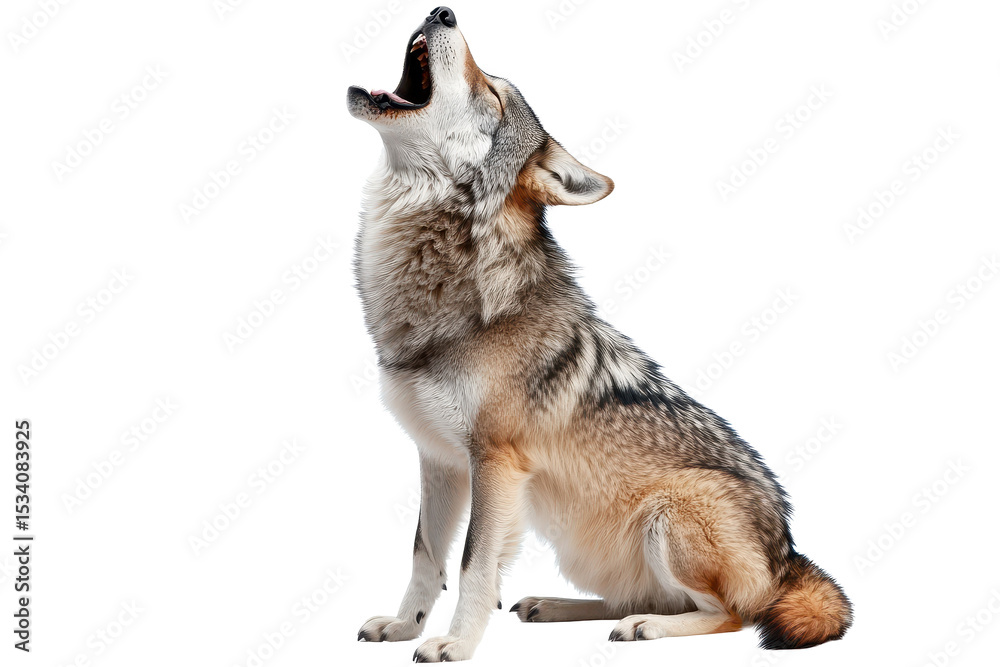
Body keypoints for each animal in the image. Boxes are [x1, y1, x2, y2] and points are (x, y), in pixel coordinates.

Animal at [348, 7, 852, 662]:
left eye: (494, 94)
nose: (443, 12)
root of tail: (789, 553)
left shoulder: (495, 461)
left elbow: (473, 564)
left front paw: (455, 643)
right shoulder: (439, 461)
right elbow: (424, 555)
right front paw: (405, 625)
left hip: (670, 512)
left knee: (729, 615)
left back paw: (648, 629)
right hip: (581, 545)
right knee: (640, 599)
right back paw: (554, 606)